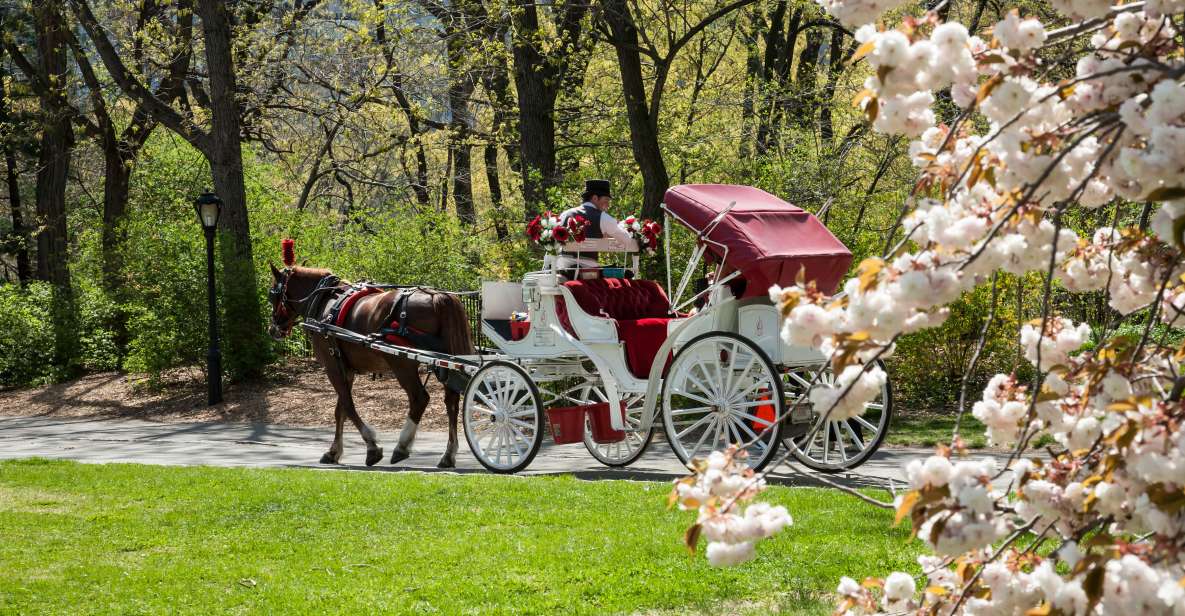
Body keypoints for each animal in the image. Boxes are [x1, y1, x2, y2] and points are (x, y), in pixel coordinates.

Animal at [268, 261, 471, 469]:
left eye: (271, 295)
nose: (273, 329)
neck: (324, 302)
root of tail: (437, 296)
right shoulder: (346, 369)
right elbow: (340, 410)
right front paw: (334, 451)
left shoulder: (332, 366)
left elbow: (348, 406)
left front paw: (372, 447)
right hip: (446, 362)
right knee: (451, 401)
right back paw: (448, 454)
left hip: (402, 363)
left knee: (419, 398)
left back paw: (402, 446)